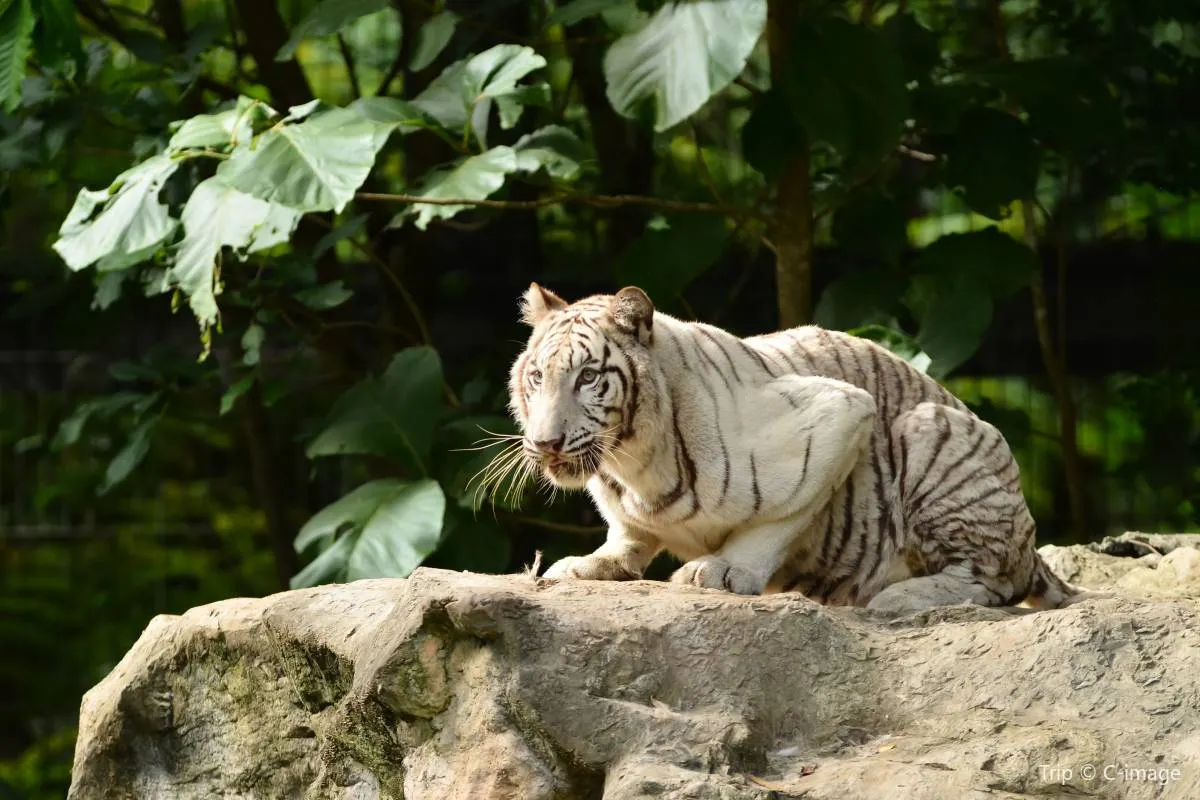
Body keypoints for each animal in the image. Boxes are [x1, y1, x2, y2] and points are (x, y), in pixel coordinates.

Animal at [501, 283, 1084, 614]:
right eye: (537, 377)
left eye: (588, 377)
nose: (546, 442)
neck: (631, 461)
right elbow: (627, 534)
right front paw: (589, 563)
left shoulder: (839, 414)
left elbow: (777, 519)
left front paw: (722, 571)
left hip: (928, 430)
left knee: (992, 580)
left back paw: (898, 597)